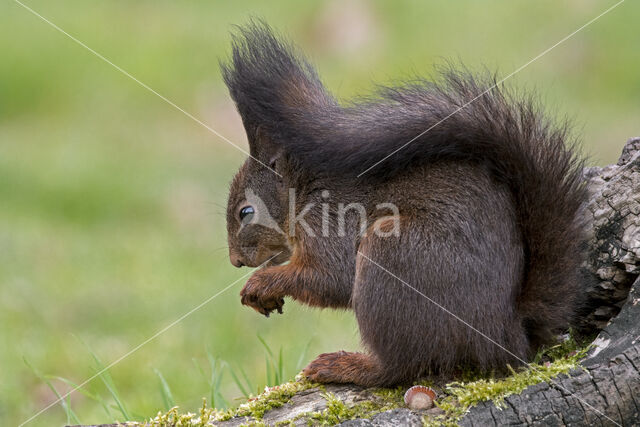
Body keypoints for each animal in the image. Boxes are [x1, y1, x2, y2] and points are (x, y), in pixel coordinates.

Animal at [221, 22, 592, 388]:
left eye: (245, 212)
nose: (236, 261)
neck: (305, 191)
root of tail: (504, 335)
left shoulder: (330, 222)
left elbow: (329, 278)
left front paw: (262, 283)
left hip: (393, 257)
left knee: (401, 367)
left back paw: (347, 366)